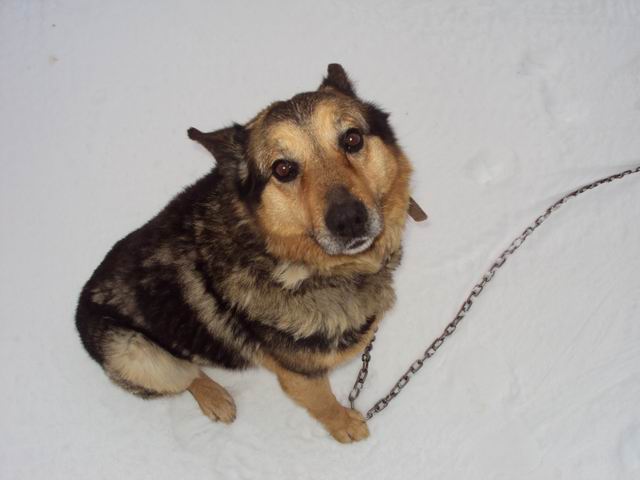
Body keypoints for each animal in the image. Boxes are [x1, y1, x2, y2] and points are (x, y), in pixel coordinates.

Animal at [75, 64, 416, 443]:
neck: (286, 260)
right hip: (134, 353)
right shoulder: (299, 377)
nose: (348, 220)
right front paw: (344, 425)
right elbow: (323, 403)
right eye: (283, 168)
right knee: (186, 374)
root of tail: (80, 304)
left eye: (352, 139)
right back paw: (215, 397)